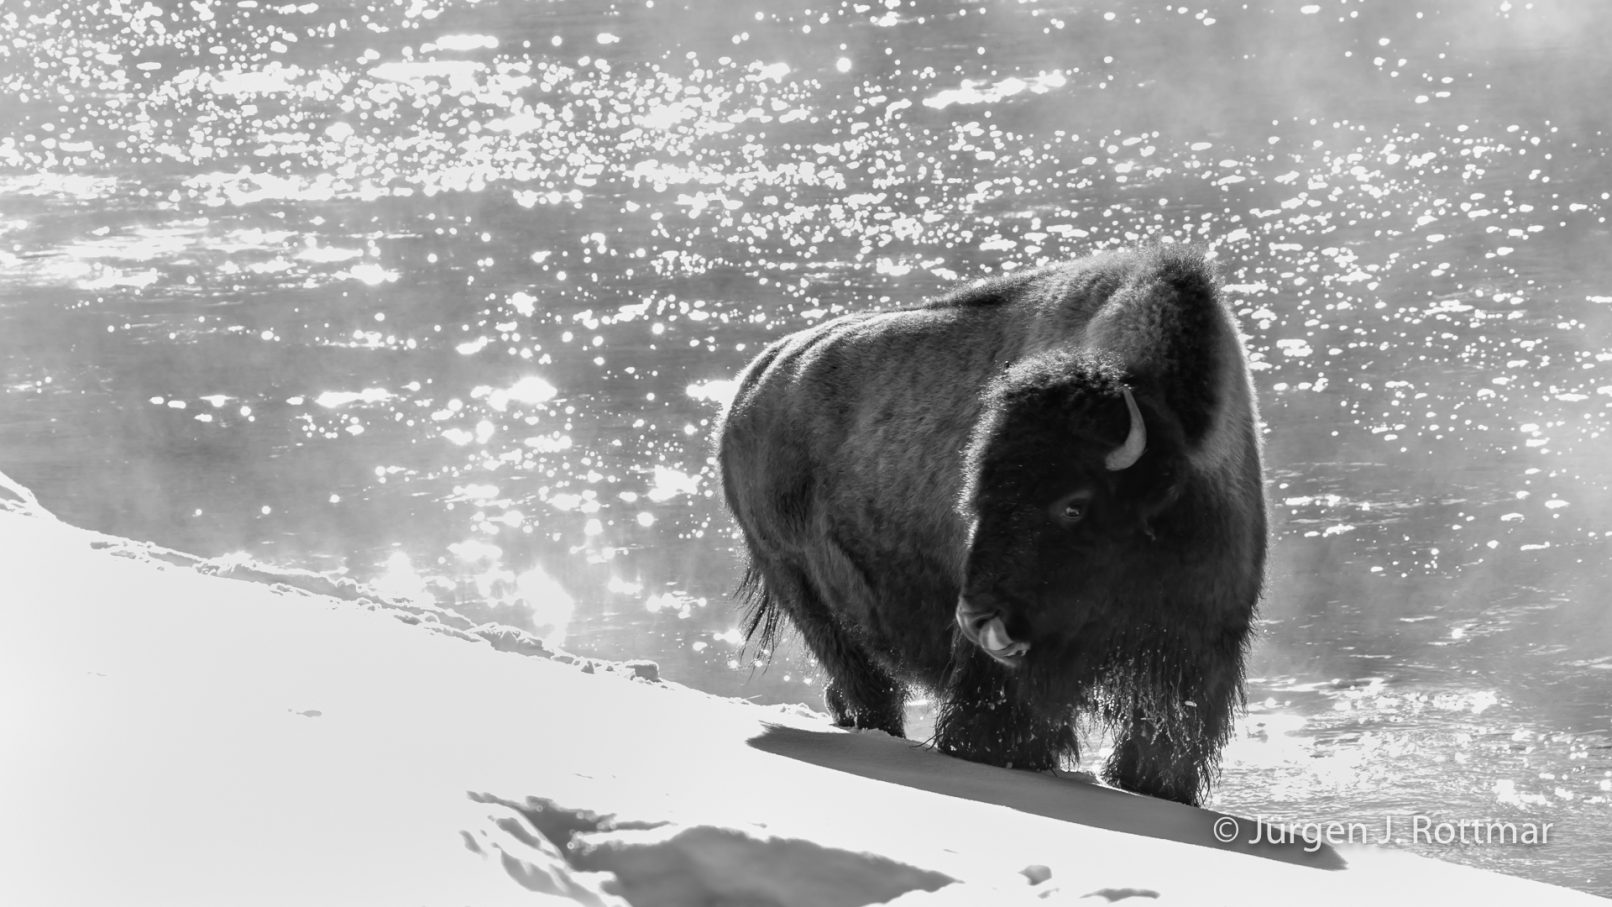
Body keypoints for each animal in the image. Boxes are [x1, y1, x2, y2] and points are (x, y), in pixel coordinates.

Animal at [716, 246, 1267, 805]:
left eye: (1073, 505)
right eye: (976, 497)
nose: (978, 620)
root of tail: (746, 391)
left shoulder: (1196, 652)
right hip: (800, 589)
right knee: (865, 684)